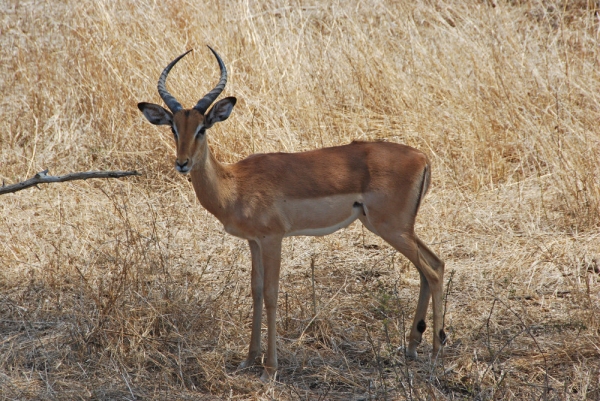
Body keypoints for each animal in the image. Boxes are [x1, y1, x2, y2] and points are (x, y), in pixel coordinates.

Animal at [137, 46, 446, 378]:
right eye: (173, 128)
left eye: (202, 128)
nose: (182, 163)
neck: (235, 184)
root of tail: (422, 157)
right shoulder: (254, 242)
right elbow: (256, 291)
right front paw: (250, 358)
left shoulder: (273, 239)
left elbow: (272, 295)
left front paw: (270, 368)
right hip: (395, 228)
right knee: (432, 266)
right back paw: (413, 346)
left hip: (391, 227)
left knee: (433, 270)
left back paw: (436, 351)